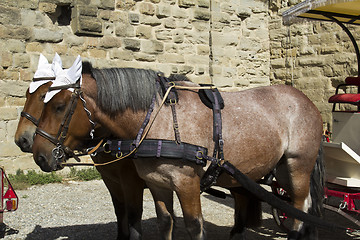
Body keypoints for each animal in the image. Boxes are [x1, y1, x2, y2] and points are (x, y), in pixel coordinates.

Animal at [13, 54, 146, 240]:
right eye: (26, 94)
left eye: (44, 96)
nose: (22, 140)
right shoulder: (111, 180)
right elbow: (120, 211)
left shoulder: (131, 182)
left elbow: (134, 217)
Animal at [31, 58, 324, 240]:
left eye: (58, 106)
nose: (38, 154)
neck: (156, 119)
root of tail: (306, 101)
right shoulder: (158, 184)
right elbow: (165, 221)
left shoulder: (187, 185)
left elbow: (194, 226)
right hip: (269, 171)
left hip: (297, 165)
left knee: (299, 206)